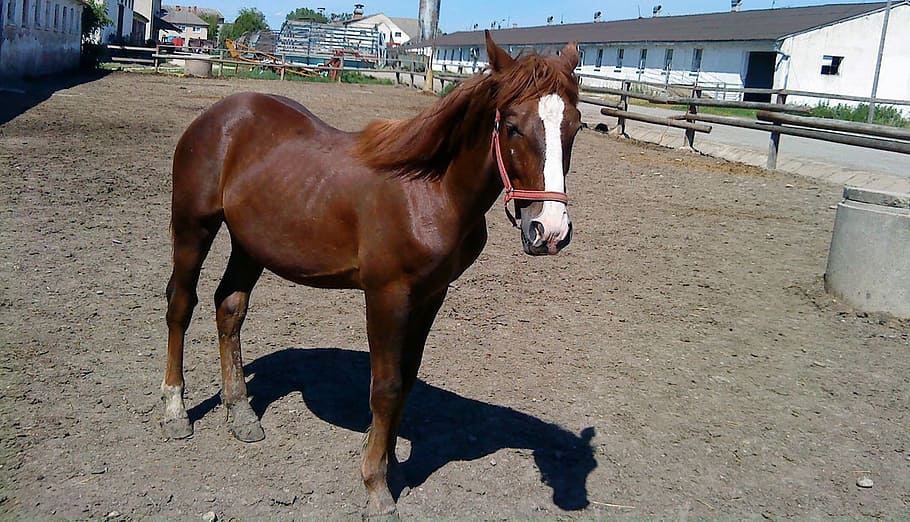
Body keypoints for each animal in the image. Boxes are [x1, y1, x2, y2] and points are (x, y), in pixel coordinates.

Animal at [160, 31, 582, 517]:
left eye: (574, 127)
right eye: (512, 126)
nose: (550, 230)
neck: (429, 191)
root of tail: (219, 115)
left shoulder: (432, 293)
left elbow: (408, 376)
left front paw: (391, 461)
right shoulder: (387, 294)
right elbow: (386, 385)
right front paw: (377, 488)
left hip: (250, 243)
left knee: (229, 307)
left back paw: (240, 412)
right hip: (193, 226)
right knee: (181, 305)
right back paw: (175, 410)